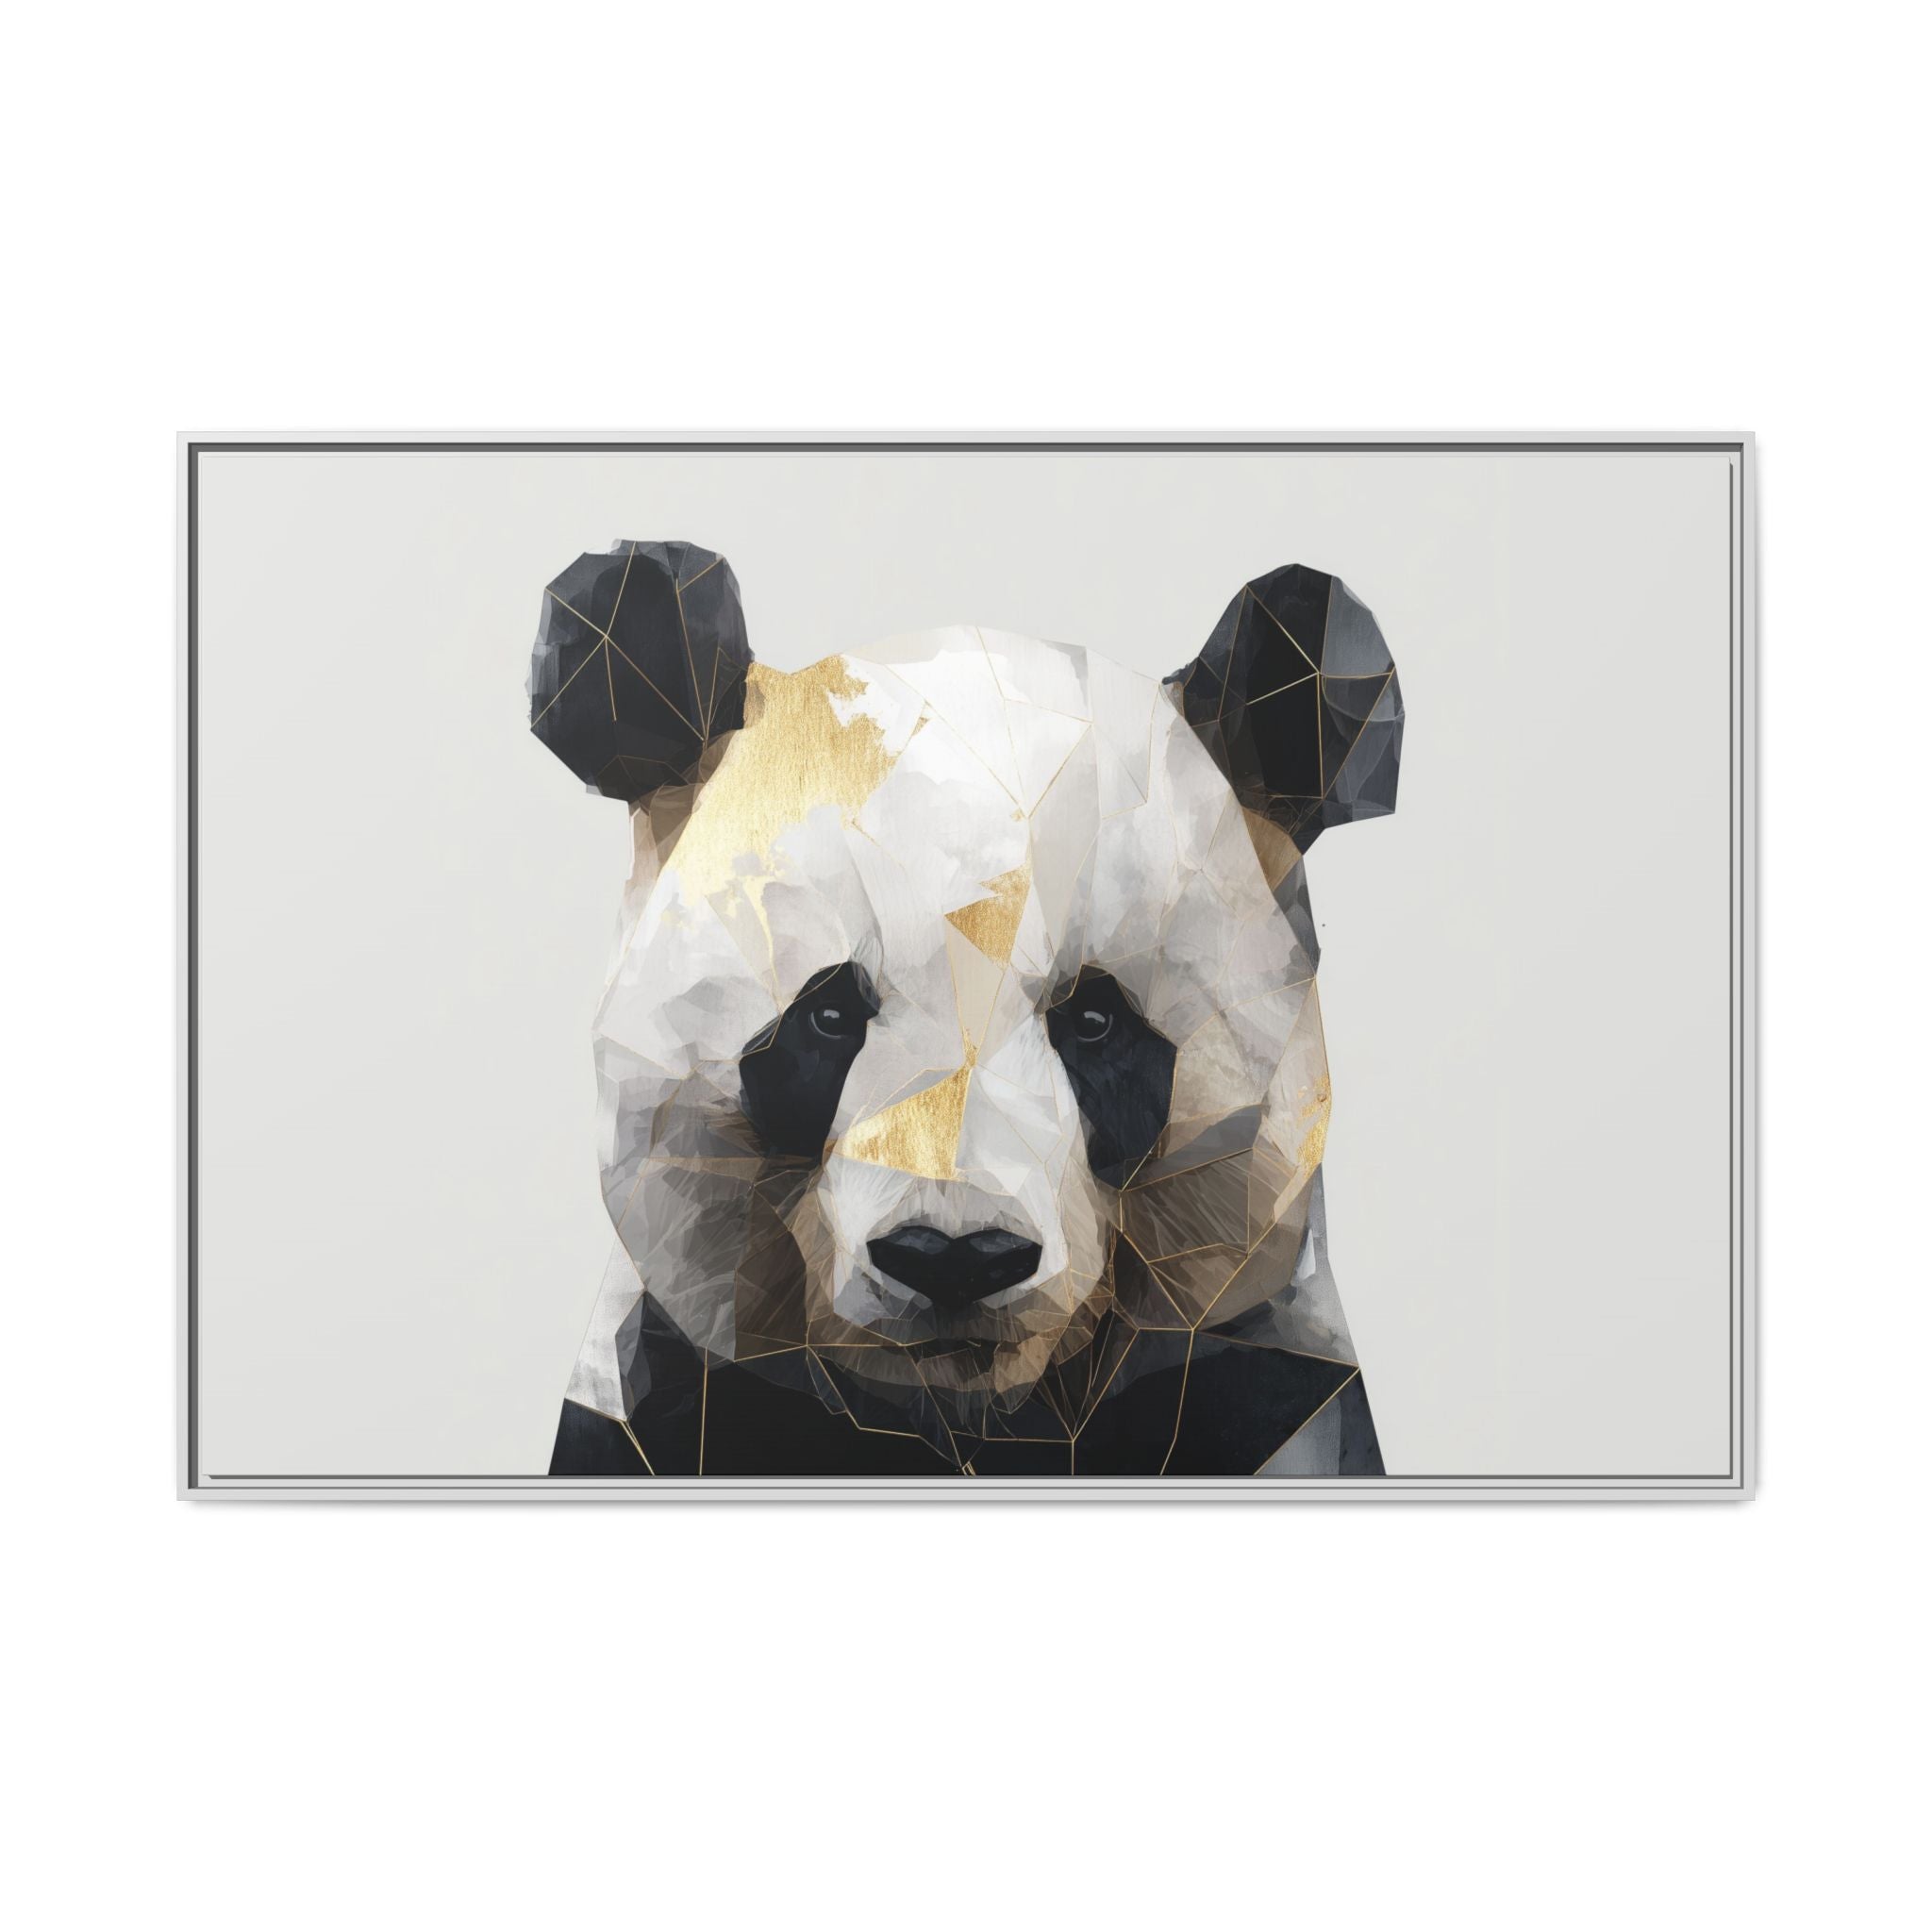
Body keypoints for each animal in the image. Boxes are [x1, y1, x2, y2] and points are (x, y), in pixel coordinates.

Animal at [530, 540, 1403, 1478]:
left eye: (1094, 1021)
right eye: (827, 1017)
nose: (953, 1258)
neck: (968, 1423)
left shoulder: (1264, 1388)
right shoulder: (659, 1401)